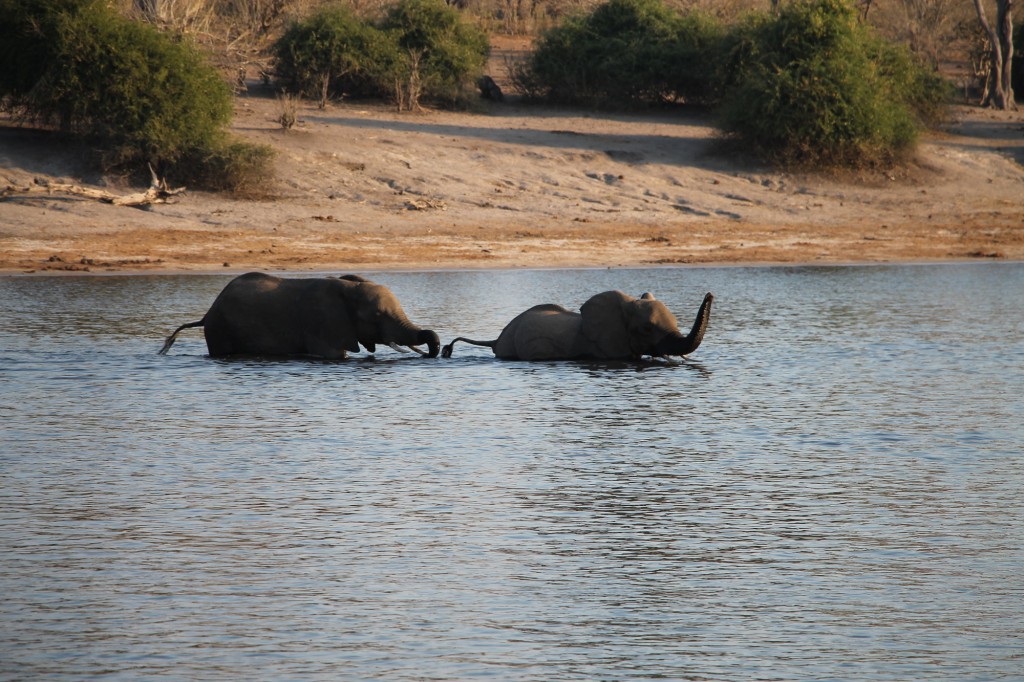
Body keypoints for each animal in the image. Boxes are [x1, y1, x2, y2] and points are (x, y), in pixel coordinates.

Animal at [158, 270, 440, 358]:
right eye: (378, 316)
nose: (438, 350)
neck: (349, 288)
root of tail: (207, 314)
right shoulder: (321, 323)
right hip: (220, 330)